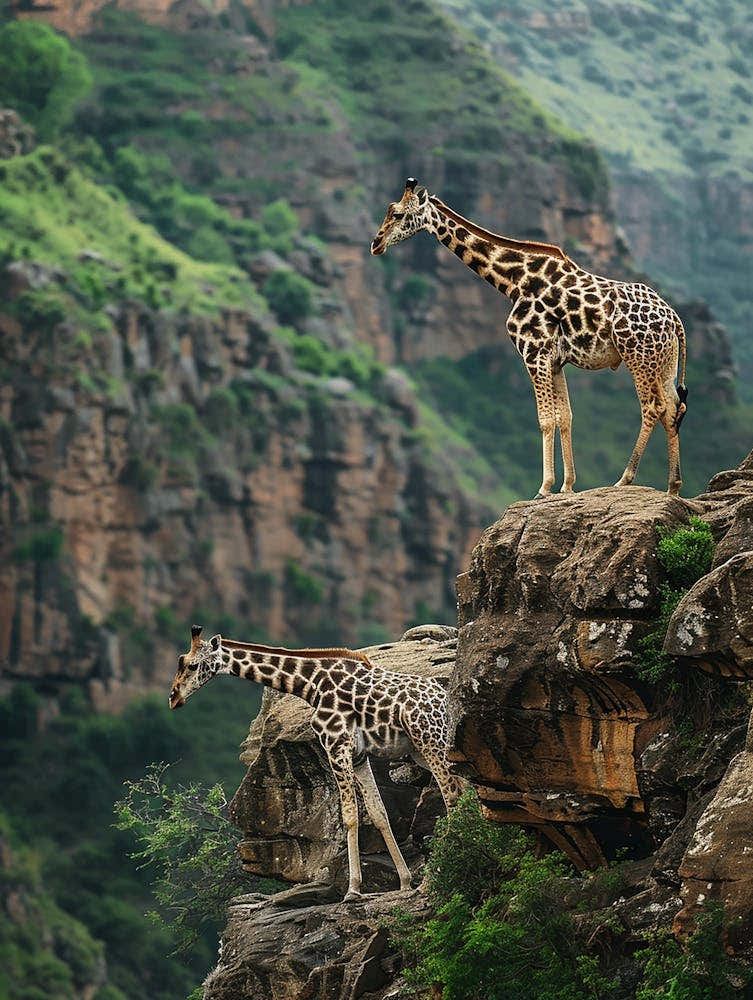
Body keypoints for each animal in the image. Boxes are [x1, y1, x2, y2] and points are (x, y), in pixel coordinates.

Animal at [169, 626, 462, 901]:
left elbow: (350, 816)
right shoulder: (358, 755)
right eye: (180, 662)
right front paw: (404, 882)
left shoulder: (336, 745)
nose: (173, 698)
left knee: (452, 797)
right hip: (424, 751)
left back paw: (437, 874)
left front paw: (353, 890)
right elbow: (379, 813)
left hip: (430, 741)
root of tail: (446, 699)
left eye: (192, 665)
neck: (311, 684)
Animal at [371, 178, 688, 497]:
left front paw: (544, 487)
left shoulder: (534, 352)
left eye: (398, 214)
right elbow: (565, 417)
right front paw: (567, 486)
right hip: (664, 362)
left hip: (637, 355)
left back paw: (625, 478)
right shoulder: (555, 360)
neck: (514, 281)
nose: (376, 244)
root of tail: (675, 320)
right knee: (674, 408)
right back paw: (673, 487)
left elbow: (546, 419)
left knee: (653, 407)